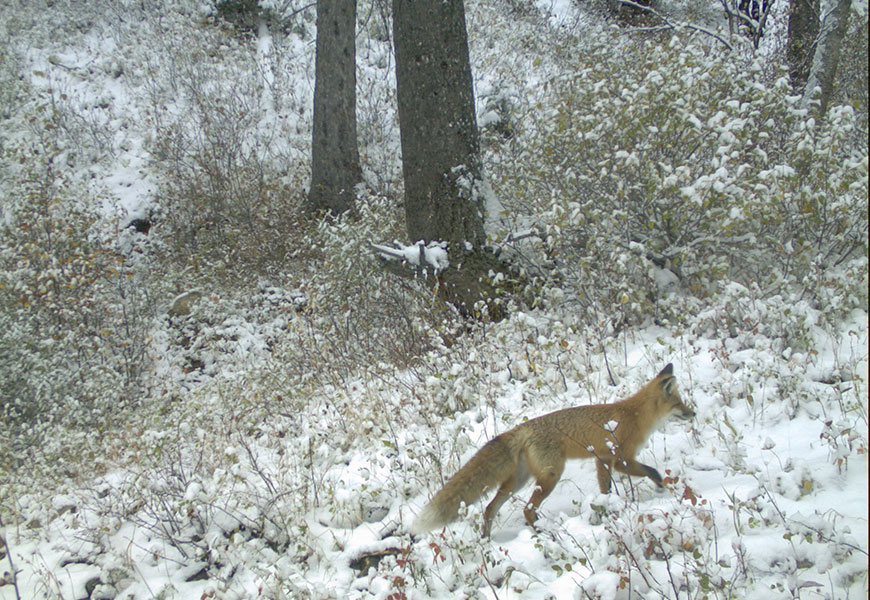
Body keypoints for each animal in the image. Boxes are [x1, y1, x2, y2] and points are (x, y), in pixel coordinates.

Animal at [414, 364, 696, 536]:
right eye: (679, 404)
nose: (693, 413)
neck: (635, 415)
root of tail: (521, 428)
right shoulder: (620, 459)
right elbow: (652, 471)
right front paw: (661, 488)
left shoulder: (603, 460)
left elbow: (605, 490)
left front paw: (606, 509)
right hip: (550, 476)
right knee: (527, 509)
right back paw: (542, 532)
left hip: (518, 481)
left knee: (490, 508)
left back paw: (487, 540)